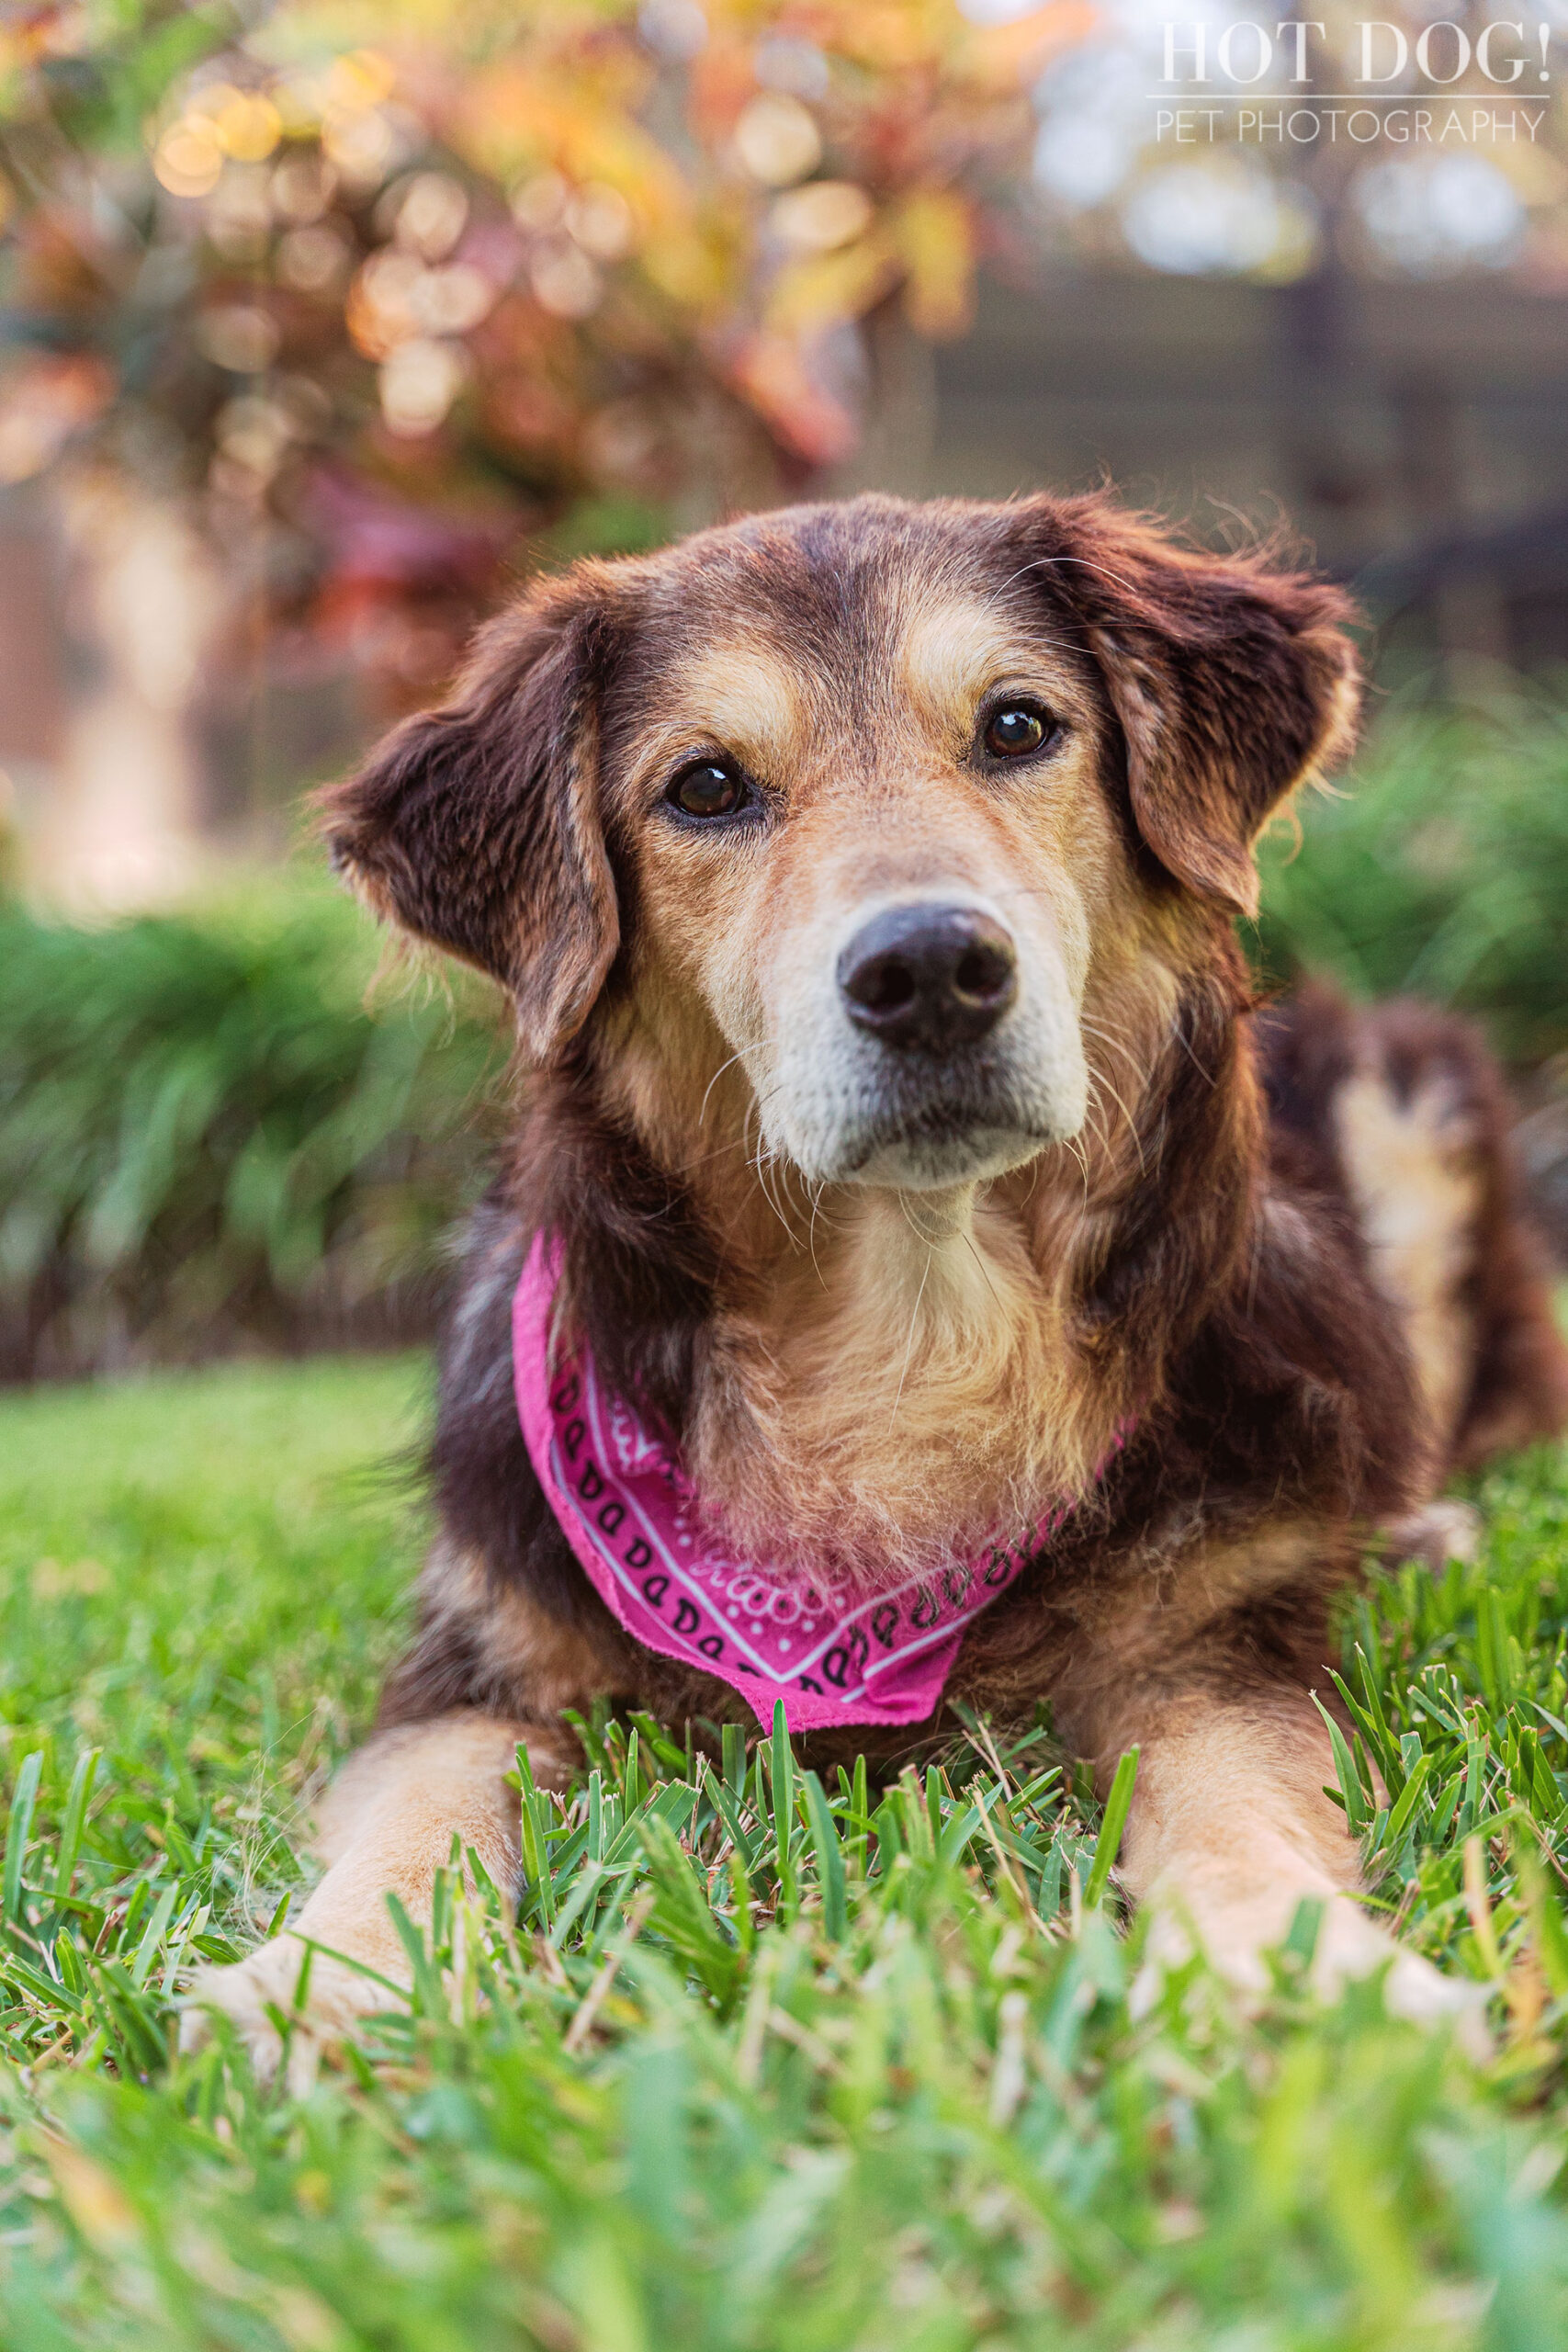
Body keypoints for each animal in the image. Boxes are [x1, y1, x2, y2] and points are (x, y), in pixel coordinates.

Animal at [186, 486, 1568, 2069]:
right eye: (705, 788)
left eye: (1018, 727)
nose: (930, 971)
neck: (910, 1328)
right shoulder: (480, 1662)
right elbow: (421, 1808)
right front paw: (333, 1980)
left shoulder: (1204, 1651)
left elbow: (1231, 1802)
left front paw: (1311, 1975)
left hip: (1404, 1108)